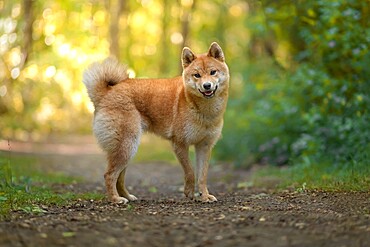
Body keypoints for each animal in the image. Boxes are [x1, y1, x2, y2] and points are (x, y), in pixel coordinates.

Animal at [82, 42, 230, 204]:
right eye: (196, 75)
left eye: (213, 72)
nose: (207, 85)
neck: (204, 111)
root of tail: (107, 92)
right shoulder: (179, 144)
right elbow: (190, 172)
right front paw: (190, 193)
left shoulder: (204, 146)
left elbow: (202, 176)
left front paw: (204, 196)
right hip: (127, 146)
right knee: (109, 175)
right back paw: (115, 199)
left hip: (128, 149)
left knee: (119, 178)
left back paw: (127, 196)